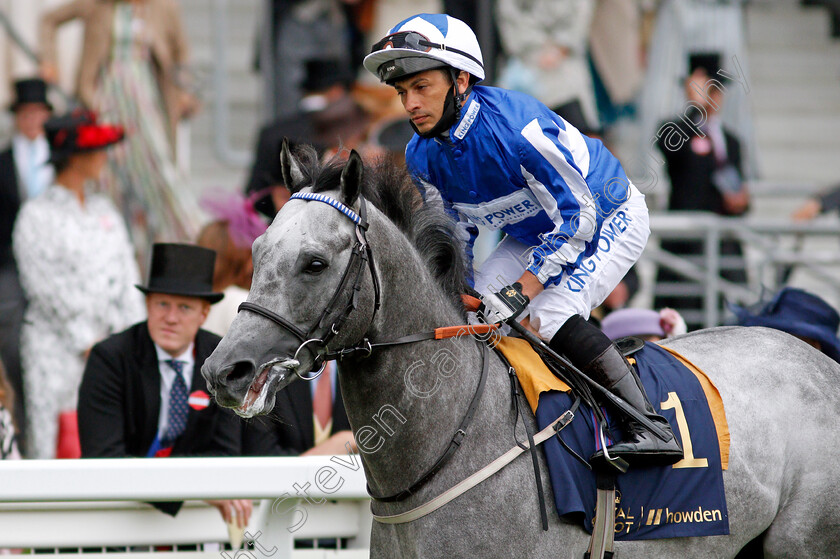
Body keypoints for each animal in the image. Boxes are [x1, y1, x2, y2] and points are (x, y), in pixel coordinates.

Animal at [202, 147, 840, 556]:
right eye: (256, 250)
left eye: (314, 262)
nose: (223, 371)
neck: (453, 441)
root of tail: (818, 361)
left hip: (804, 542)